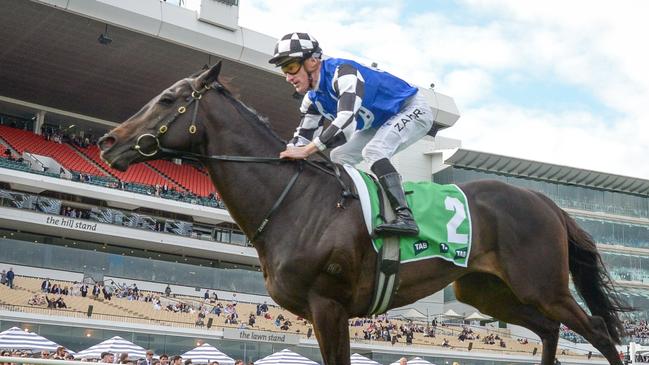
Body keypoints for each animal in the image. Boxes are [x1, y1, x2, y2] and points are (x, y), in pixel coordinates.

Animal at [98, 63, 632, 364]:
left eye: (168, 99)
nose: (107, 141)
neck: (295, 202)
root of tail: (545, 201)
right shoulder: (319, 313)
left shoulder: (329, 305)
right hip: (487, 291)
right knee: (549, 330)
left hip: (542, 285)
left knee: (598, 331)